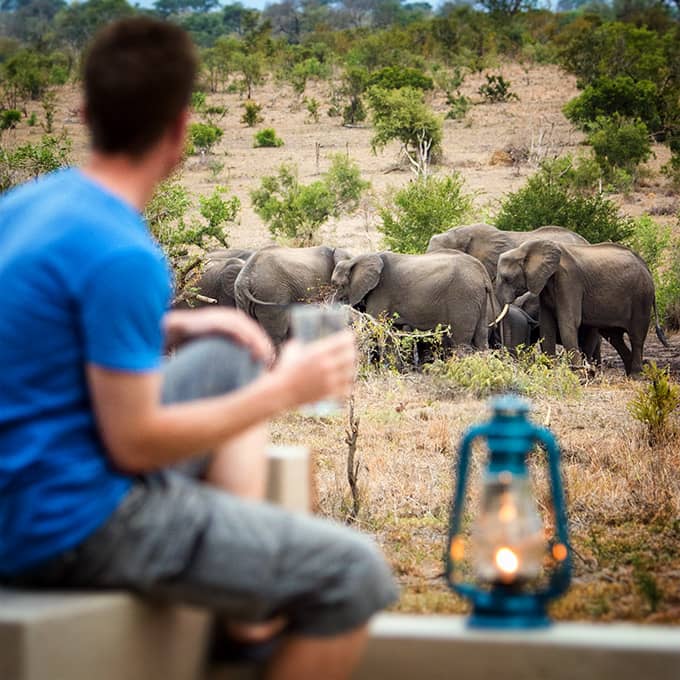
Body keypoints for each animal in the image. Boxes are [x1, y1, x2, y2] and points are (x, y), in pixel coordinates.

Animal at [330, 250, 494, 348]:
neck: (359, 257)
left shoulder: (381, 292)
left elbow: (376, 325)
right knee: (481, 339)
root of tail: (482, 272)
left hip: (463, 296)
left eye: (338, 285)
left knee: (461, 342)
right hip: (478, 298)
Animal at [496, 240, 668, 378]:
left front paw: (578, 376)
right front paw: (550, 373)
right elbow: (547, 325)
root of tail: (645, 265)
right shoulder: (545, 286)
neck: (525, 249)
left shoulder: (569, 280)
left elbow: (568, 322)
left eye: (507, 278)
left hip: (641, 297)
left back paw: (636, 376)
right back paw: (627, 373)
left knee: (636, 335)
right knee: (614, 337)